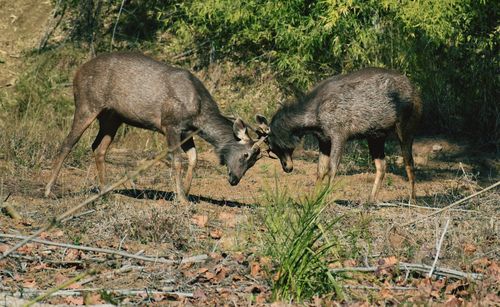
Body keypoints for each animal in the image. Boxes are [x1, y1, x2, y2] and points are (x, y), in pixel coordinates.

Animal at [45, 51, 268, 203]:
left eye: (254, 162)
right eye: (246, 155)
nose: (235, 179)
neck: (199, 115)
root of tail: (77, 73)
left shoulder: (186, 132)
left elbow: (194, 158)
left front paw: (187, 191)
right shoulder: (170, 124)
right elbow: (177, 160)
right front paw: (181, 198)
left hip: (112, 118)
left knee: (98, 148)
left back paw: (104, 190)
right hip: (87, 104)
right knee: (68, 143)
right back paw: (48, 189)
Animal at [254, 67, 422, 202]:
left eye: (273, 145)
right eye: (271, 149)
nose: (287, 167)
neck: (313, 120)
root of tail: (416, 93)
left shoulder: (339, 134)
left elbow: (332, 168)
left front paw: (325, 198)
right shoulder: (323, 140)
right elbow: (320, 170)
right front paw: (314, 199)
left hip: (405, 127)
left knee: (409, 163)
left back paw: (412, 199)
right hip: (376, 136)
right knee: (382, 166)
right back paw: (370, 199)